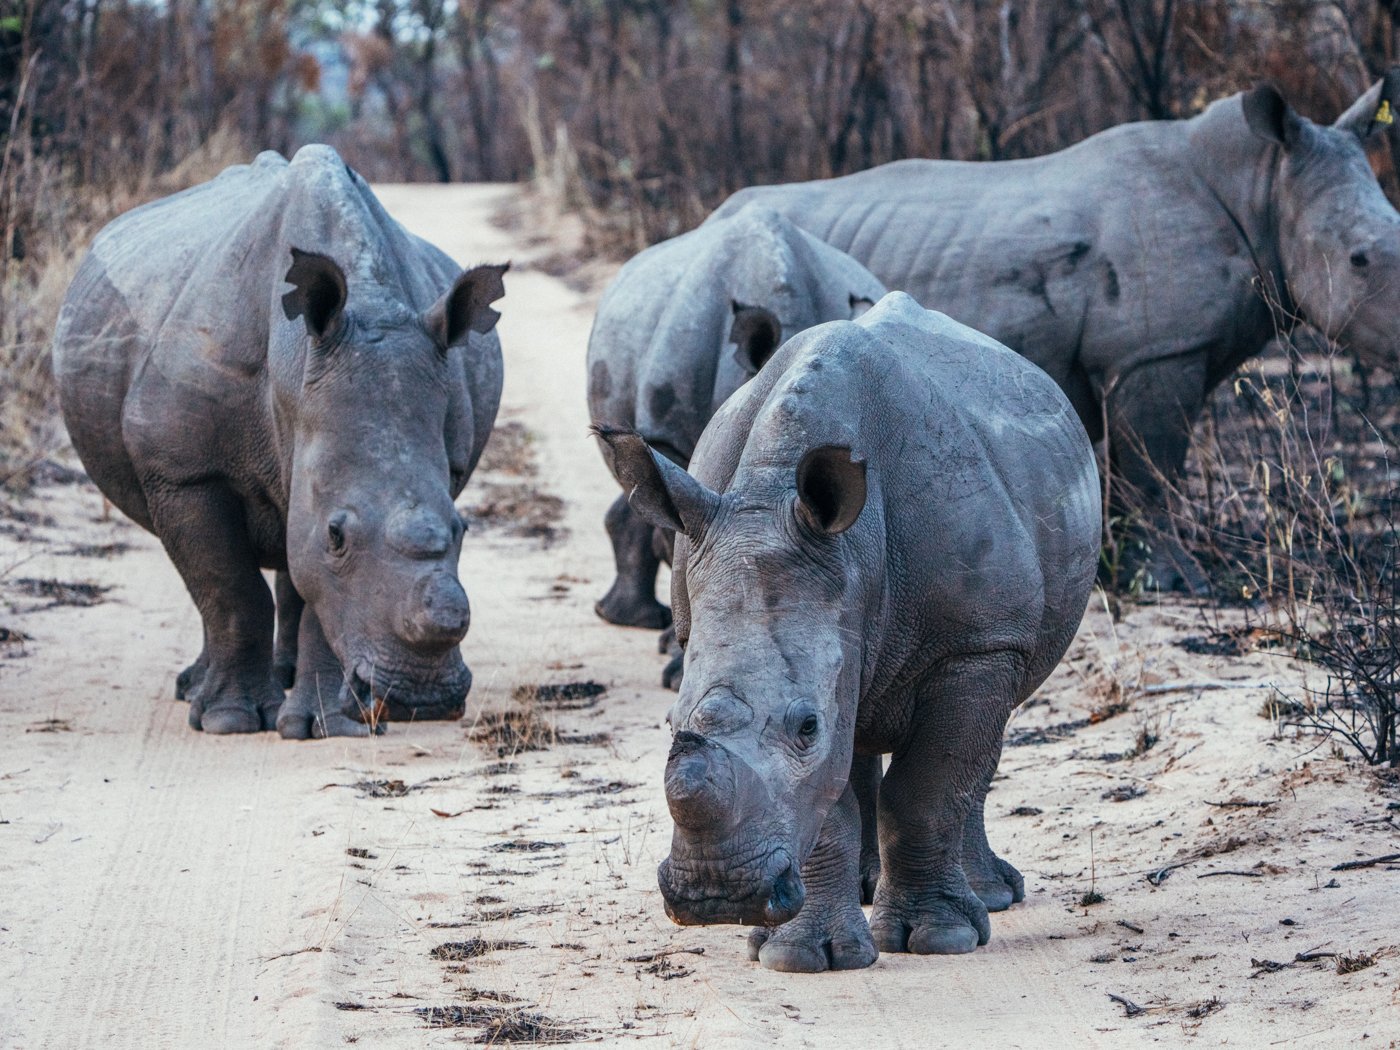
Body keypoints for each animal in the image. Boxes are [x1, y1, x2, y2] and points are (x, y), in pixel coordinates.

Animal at [57, 148, 512, 739]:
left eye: (462, 530)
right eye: (337, 535)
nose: (422, 698)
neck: (295, 369)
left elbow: (316, 588)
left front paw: (328, 727)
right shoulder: (182, 471)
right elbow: (230, 589)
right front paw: (230, 721)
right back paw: (196, 692)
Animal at [596, 292, 1097, 974]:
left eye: (806, 726)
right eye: (672, 724)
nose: (715, 895)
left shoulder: (977, 644)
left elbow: (929, 786)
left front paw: (938, 939)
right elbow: (828, 798)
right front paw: (802, 957)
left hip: (1001, 619)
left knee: (977, 749)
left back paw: (991, 899)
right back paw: (867, 889)